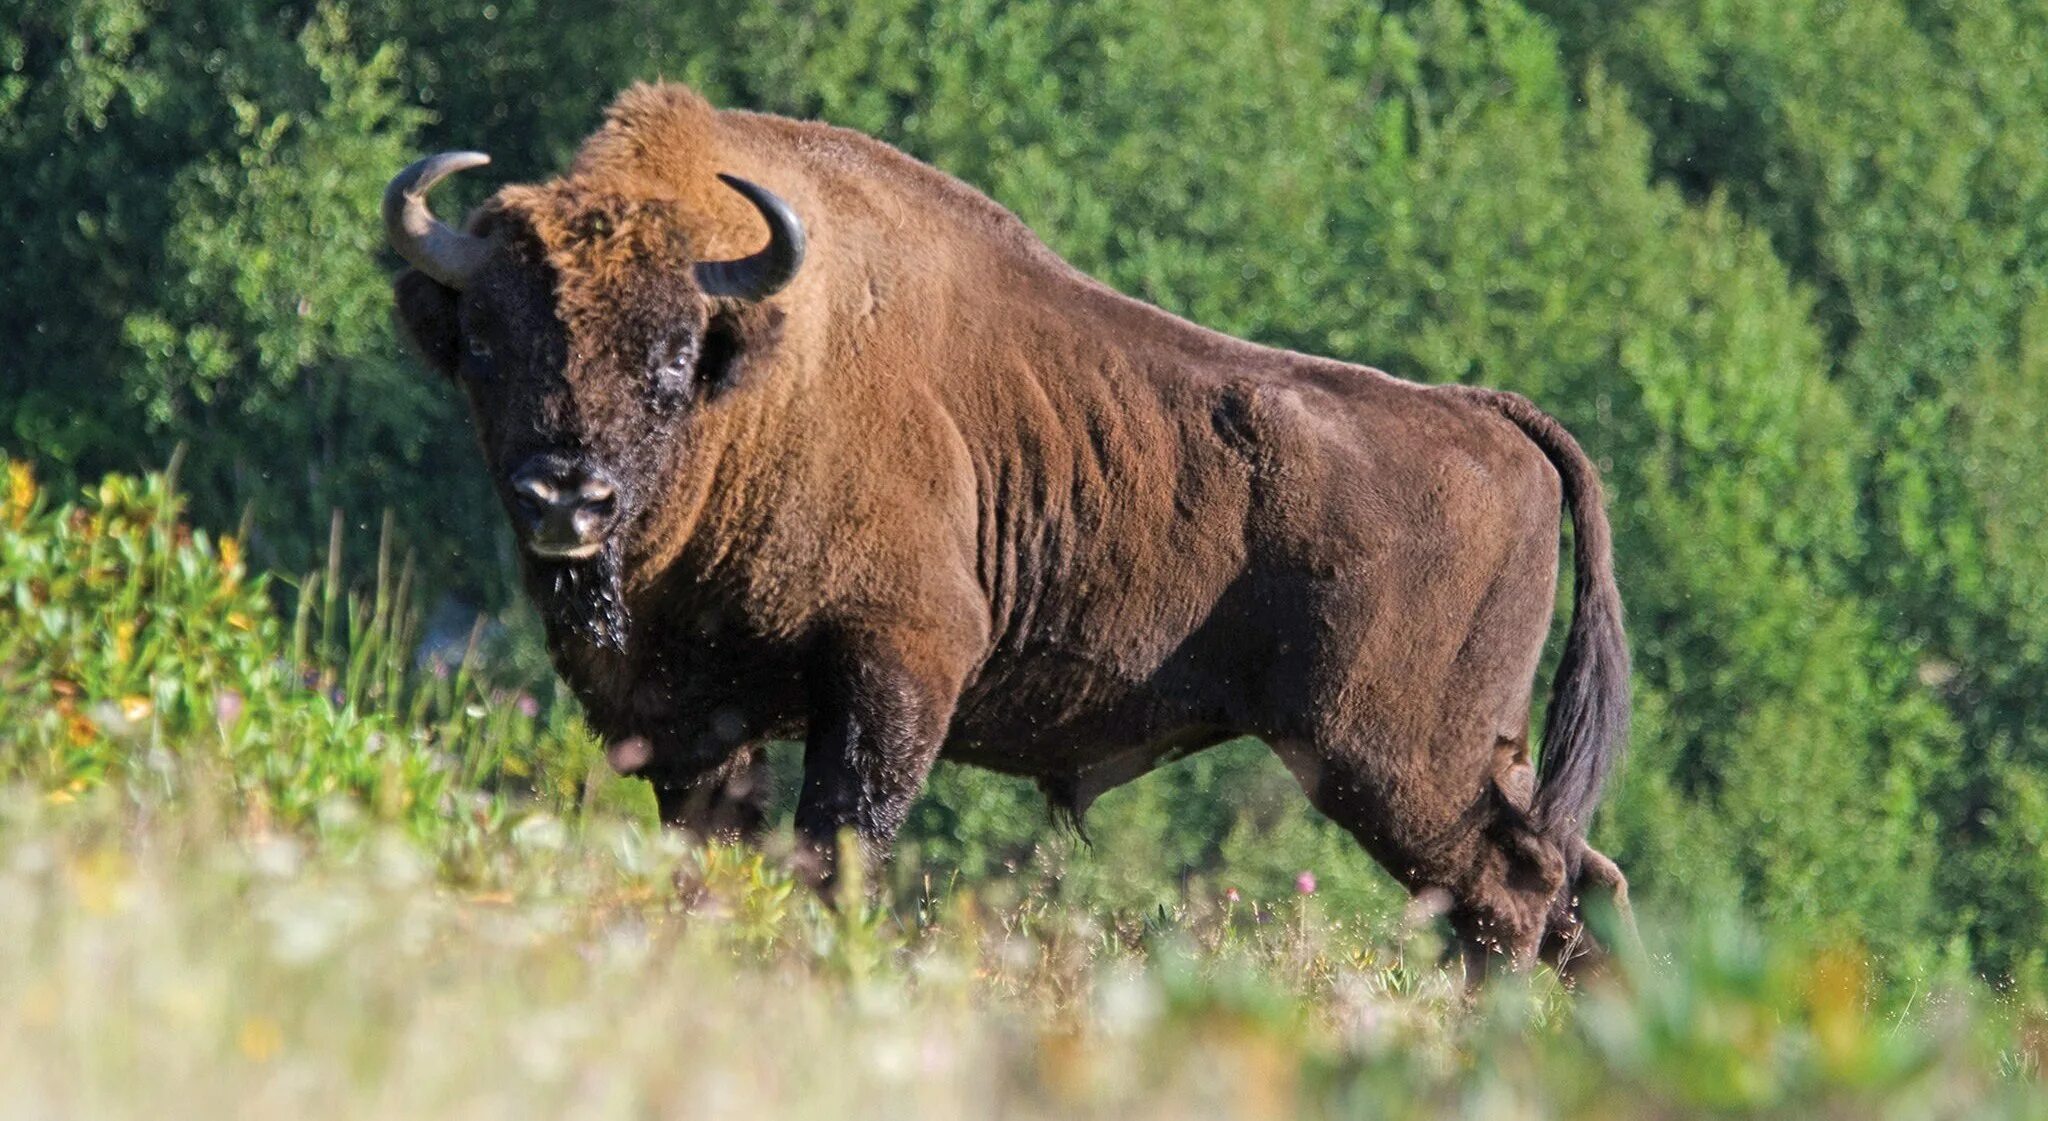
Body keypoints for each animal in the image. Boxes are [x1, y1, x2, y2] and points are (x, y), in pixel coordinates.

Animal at [385, 83, 1630, 979]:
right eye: (485, 342)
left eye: (672, 359)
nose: (566, 497)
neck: (765, 374)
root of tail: (1486, 417)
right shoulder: (688, 721)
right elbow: (719, 854)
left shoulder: (896, 668)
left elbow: (839, 845)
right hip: (1473, 756)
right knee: (1577, 878)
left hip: (1388, 759)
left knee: (1509, 886)